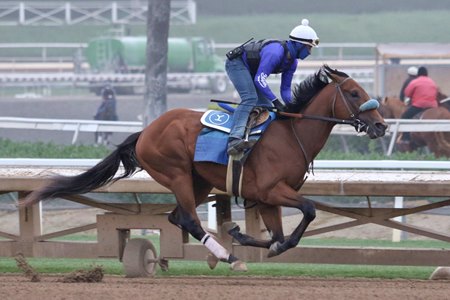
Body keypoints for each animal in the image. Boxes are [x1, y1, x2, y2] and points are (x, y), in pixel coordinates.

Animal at [21, 66, 386, 272]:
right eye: (355, 93)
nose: (381, 125)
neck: (289, 134)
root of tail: (146, 131)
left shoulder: (267, 198)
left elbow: (280, 237)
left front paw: (242, 233)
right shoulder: (271, 190)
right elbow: (308, 211)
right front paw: (241, 240)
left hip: (198, 182)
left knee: (176, 217)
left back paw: (222, 250)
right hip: (177, 174)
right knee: (188, 220)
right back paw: (227, 257)